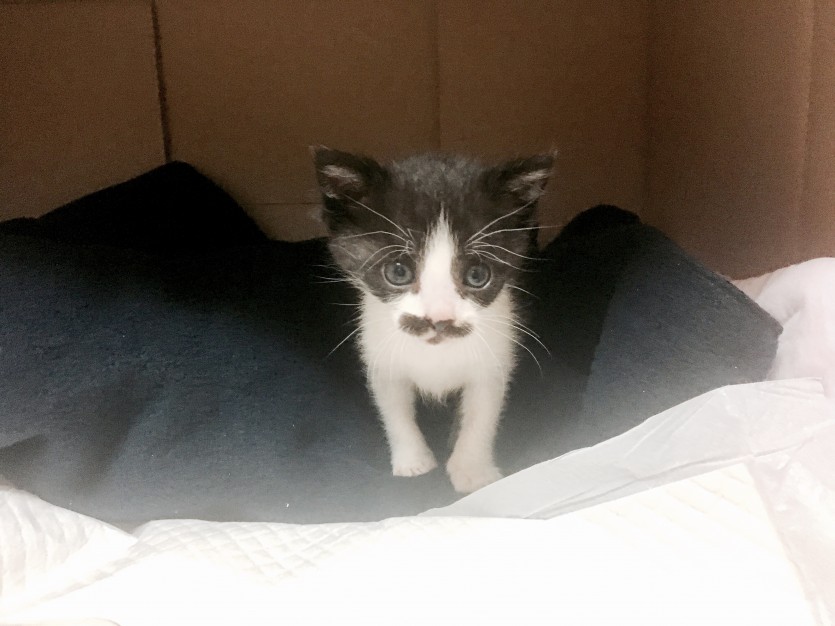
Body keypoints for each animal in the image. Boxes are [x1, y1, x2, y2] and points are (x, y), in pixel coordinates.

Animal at [313, 148, 553, 493]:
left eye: (477, 275)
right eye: (398, 271)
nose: (439, 319)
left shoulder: (494, 357)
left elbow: (481, 413)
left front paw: (472, 472)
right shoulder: (380, 355)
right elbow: (394, 409)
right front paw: (414, 462)